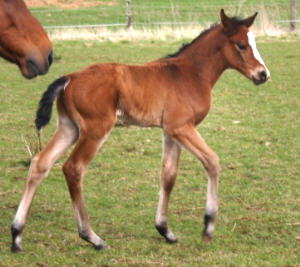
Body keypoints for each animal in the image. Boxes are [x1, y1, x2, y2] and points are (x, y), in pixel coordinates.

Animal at [11, 9, 270, 253]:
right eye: (241, 45)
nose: (263, 74)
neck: (190, 74)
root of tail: (69, 78)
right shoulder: (182, 128)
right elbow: (212, 162)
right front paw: (208, 226)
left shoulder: (171, 132)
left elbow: (168, 175)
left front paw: (165, 231)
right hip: (95, 130)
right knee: (73, 168)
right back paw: (92, 237)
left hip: (69, 128)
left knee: (40, 163)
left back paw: (16, 235)